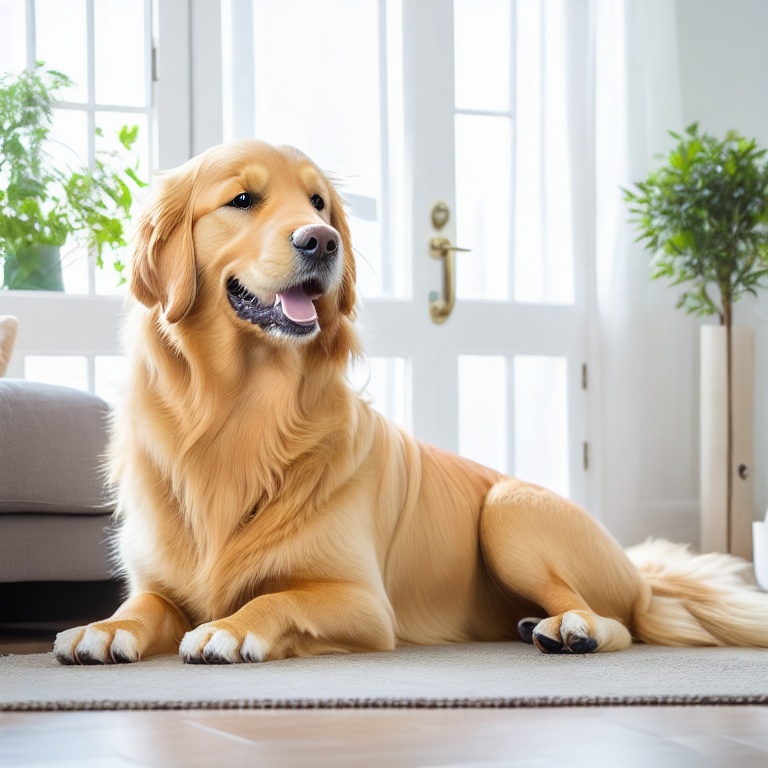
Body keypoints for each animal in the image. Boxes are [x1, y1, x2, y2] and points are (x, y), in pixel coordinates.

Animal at [54, 140, 768, 664]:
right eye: (243, 200)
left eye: (318, 202)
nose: (321, 240)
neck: (242, 414)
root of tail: (644, 577)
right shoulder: (158, 583)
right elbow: (142, 606)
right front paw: (103, 629)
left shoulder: (366, 604)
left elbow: (276, 600)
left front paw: (229, 628)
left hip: (509, 509)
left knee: (614, 621)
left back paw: (566, 627)